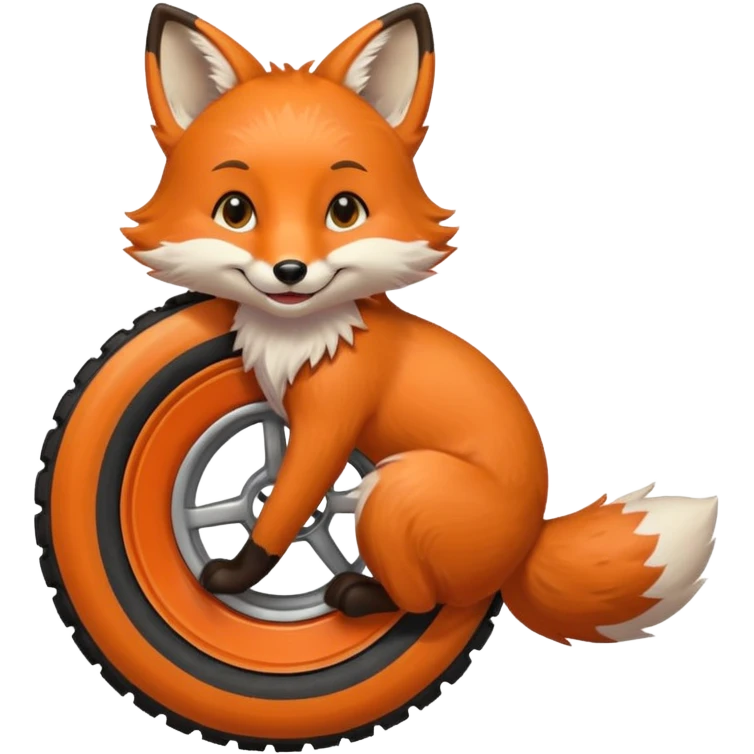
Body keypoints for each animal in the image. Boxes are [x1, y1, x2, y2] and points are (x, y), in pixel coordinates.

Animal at [122, 2, 719, 646]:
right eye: (235, 211)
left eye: (344, 211)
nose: (290, 270)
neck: (305, 338)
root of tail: (525, 547)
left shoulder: (329, 424)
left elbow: (285, 506)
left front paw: (236, 572)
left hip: (395, 490)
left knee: (424, 598)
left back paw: (360, 594)